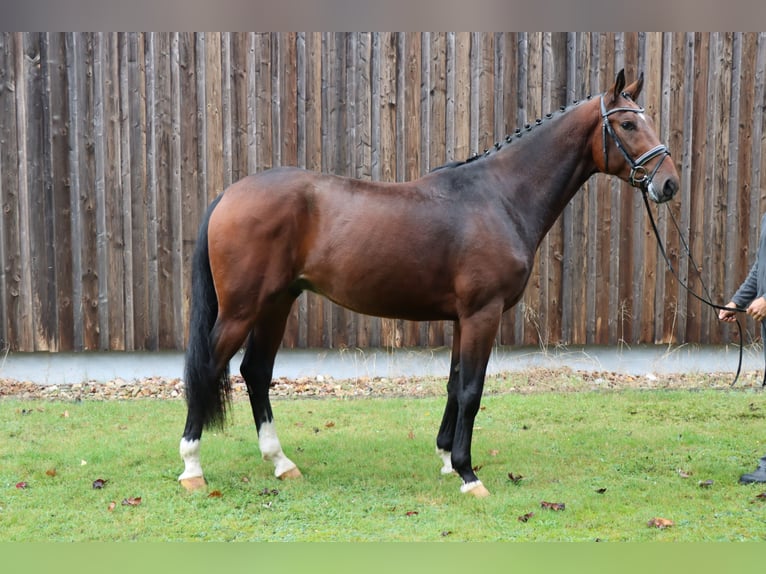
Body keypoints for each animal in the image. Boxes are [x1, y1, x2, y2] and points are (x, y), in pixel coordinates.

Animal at [182, 70, 684, 498]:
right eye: (627, 124)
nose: (669, 184)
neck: (499, 197)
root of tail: (229, 194)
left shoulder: (464, 318)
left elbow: (453, 384)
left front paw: (446, 458)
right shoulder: (482, 314)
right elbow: (472, 391)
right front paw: (468, 474)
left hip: (276, 303)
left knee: (256, 372)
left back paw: (281, 463)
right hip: (243, 309)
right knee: (208, 369)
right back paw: (192, 468)